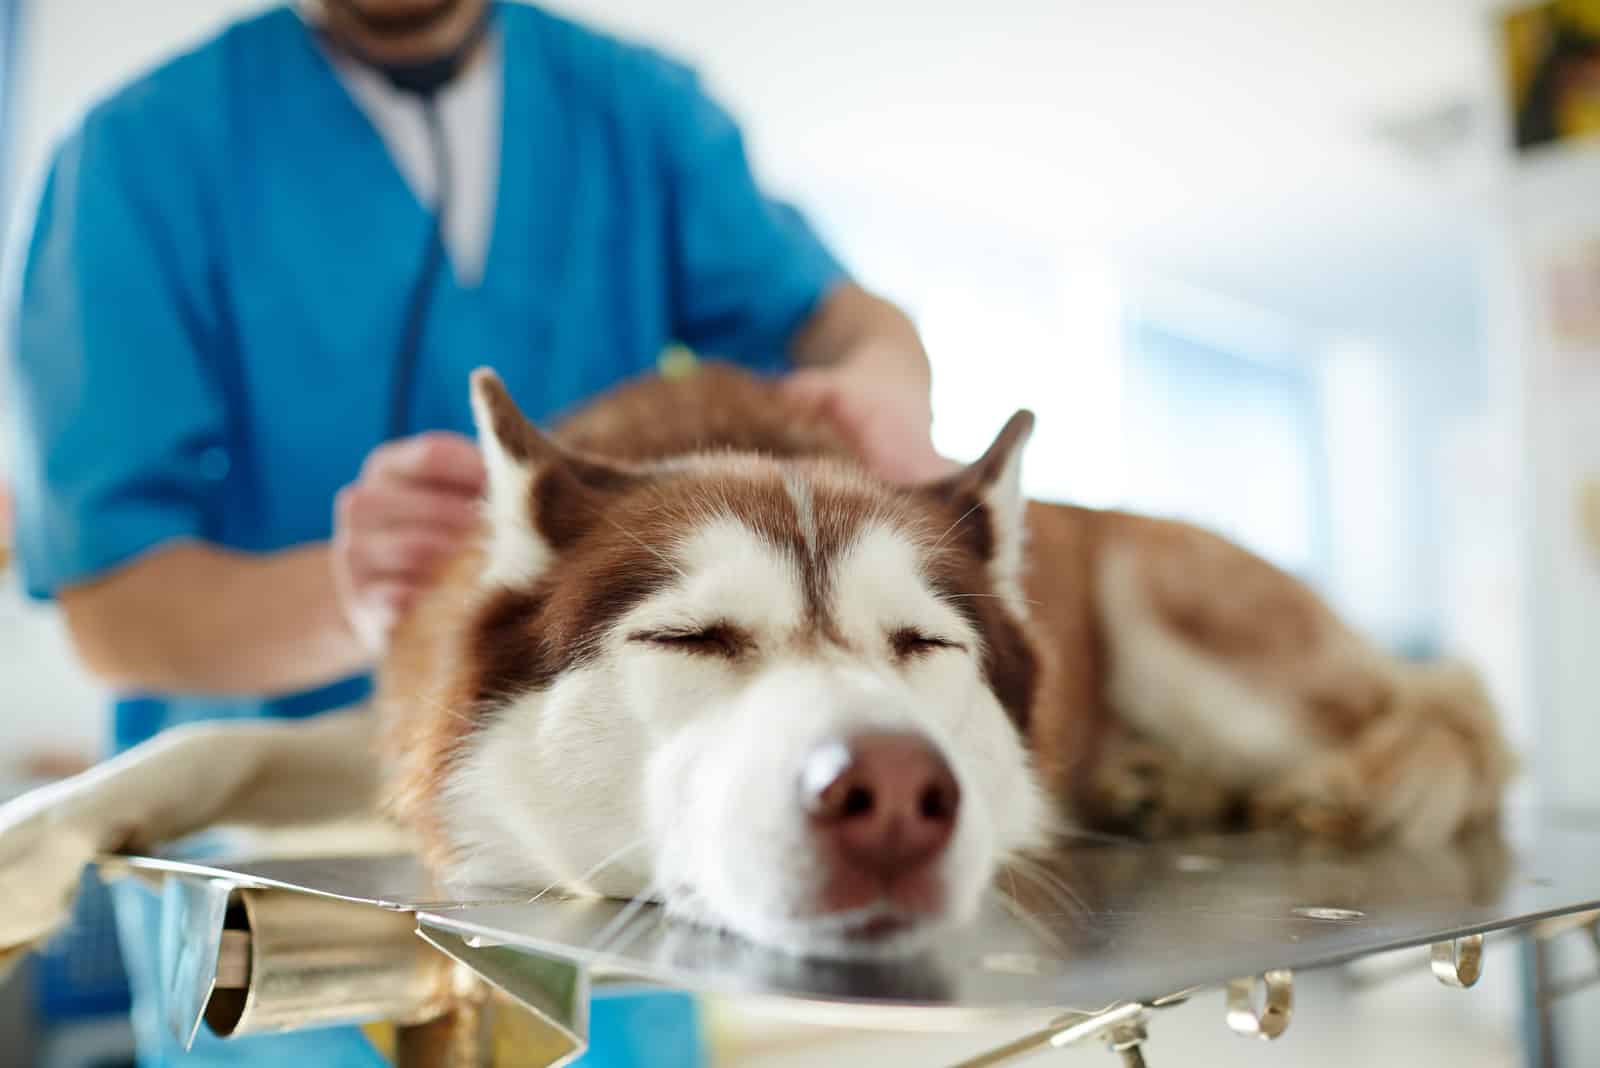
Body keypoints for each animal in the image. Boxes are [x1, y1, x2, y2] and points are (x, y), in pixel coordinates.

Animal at [0, 361, 1510, 959]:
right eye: (693, 638)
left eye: (922, 646)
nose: (894, 799)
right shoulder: (410, 726)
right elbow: (218, 736)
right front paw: (39, 829)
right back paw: (1160, 788)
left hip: (1171, 609)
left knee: (1444, 724)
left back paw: (1305, 786)